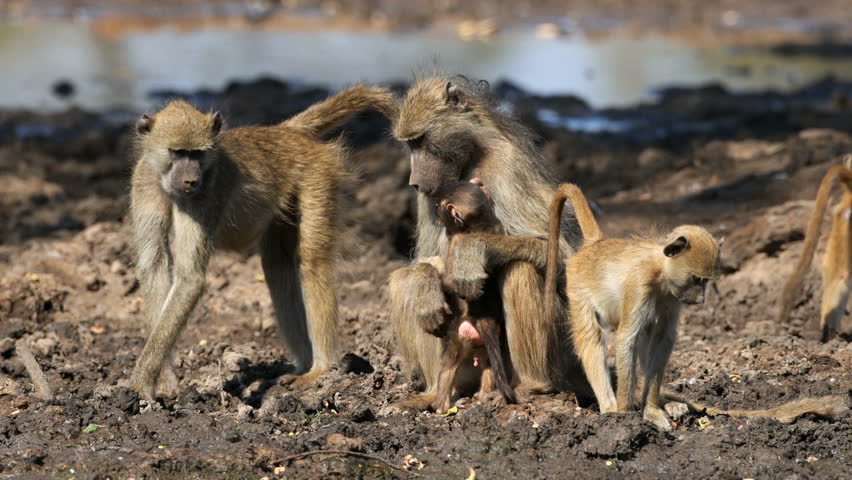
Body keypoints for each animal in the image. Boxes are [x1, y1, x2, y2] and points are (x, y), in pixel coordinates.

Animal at [128, 84, 397, 399]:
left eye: (197, 154)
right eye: (178, 152)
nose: (191, 181)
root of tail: (284, 133)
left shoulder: (203, 199)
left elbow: (189, 278)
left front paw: (138, 385)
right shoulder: (144, 181)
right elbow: (154, 265)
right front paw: (164, 381)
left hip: (317, 176)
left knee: (311, 263)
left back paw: (320, 370)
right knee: (277, 267)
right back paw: (302, 365)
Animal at [426, 179, 516, 413]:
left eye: (440, 206)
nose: (436, 215)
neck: (481, 225)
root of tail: (484, 320)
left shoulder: (457, 241)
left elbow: (451, 281)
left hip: (458, 337)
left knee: (448, 366)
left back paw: (440, 406)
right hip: (487, 343)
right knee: (489, 365)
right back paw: (484, 396)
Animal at [547, 183, 849, 430]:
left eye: (705, 282)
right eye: (698, 280)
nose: (701, 299)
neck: (659, 270)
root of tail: (594, 247)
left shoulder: (670, 295)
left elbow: (661, 339)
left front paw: (652, 408)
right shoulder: (640, 283)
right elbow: (626, 339)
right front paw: (625, 414)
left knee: (646, 336)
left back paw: (664, 402)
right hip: (577, 284)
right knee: (591, 338)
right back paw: (611, 408)